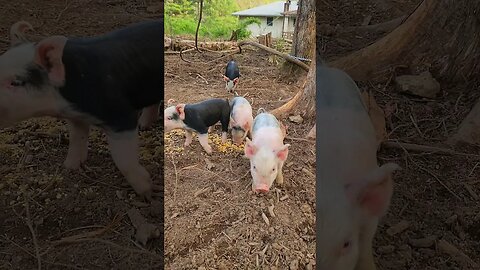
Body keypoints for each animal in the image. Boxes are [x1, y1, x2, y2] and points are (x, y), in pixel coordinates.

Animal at [0, 19, 163, 200]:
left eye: (16, 82)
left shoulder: (120, 116)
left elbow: (123, 160)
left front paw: (149, 193)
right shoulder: (76, 117)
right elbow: (77, 139)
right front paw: (69, 167)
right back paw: (144, 126)